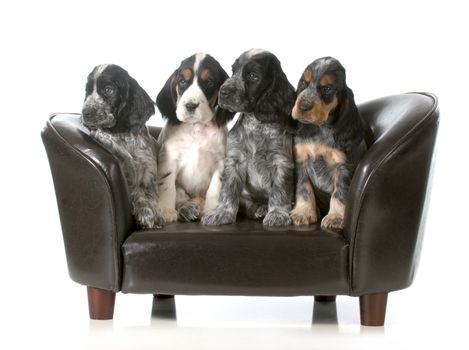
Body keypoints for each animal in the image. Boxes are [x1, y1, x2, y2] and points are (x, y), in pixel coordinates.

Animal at [78, 65, 163, 230]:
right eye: (88, 91)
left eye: (109, 90)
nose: (85, 113)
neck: (122, 135)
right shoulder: (125, 173)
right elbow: (136, 193)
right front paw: (147, 214)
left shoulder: (148, 170)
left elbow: (149, 193)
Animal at [155, 52, 234, 221]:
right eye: (182, 81)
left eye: (209, 82)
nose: (191, 106)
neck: (196, 127)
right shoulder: (170, 157)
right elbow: (167, 184)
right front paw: (165, 210)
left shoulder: (220, 161)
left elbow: (215, 189)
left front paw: (212, 211)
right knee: (180, 196)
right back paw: (187, 209)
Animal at [201, 49, 296, 228]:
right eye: (233, 71)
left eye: (253, 76)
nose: (223, 91)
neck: (257, 124)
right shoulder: (234, 160)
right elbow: (228, 190)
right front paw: (222, 213)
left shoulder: (282, 161)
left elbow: (279, 191)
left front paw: (277, 214)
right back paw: (259, 208)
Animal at [288, 56, 370, 230]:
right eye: (303, 83)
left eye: (327, 88)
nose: (303, 106)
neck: (320, 128)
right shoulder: (300, 161)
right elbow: (303, 188)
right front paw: (303, 213)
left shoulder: (343, 167)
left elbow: (339, 193)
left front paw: (336, 218)